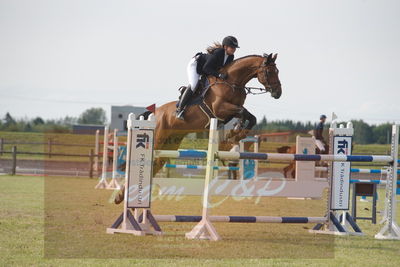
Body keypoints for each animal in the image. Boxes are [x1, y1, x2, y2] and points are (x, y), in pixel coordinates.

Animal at [114, 53, 282, 204]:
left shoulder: (231, 111)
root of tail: (156, 112)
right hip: (158, 139)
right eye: (269, 72)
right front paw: (235, 134)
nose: (278, 93)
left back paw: (126, 196)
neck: (231, 82)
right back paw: (122, 195)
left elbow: (249, 116)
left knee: (157, 163)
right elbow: (244, 113)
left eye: (277, 71)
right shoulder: (221, 108)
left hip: (170, 143)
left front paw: (235, 133)